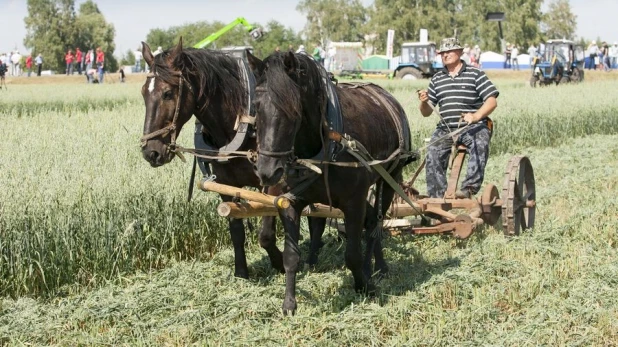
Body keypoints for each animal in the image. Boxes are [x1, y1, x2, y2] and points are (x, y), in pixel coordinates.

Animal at [137, 39, 324, 280]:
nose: (151, 152)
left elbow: (265, 233)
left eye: (168, 93)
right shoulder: (225, 184)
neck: (239, 122)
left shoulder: (272, 182)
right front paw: (241, 272)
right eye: (144, 93)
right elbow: (236, 231)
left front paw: (280, 263)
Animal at [245, 51, 414, 316]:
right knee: (371, 221)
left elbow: (352, 254)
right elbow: (291, 257)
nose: (267, 171)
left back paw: (376, 268)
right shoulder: (289, 202)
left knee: (375, 226)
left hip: (391, 178)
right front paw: (289, 303)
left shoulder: (354, 203)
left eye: (294, 110)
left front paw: (365, 287)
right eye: (257, 107)